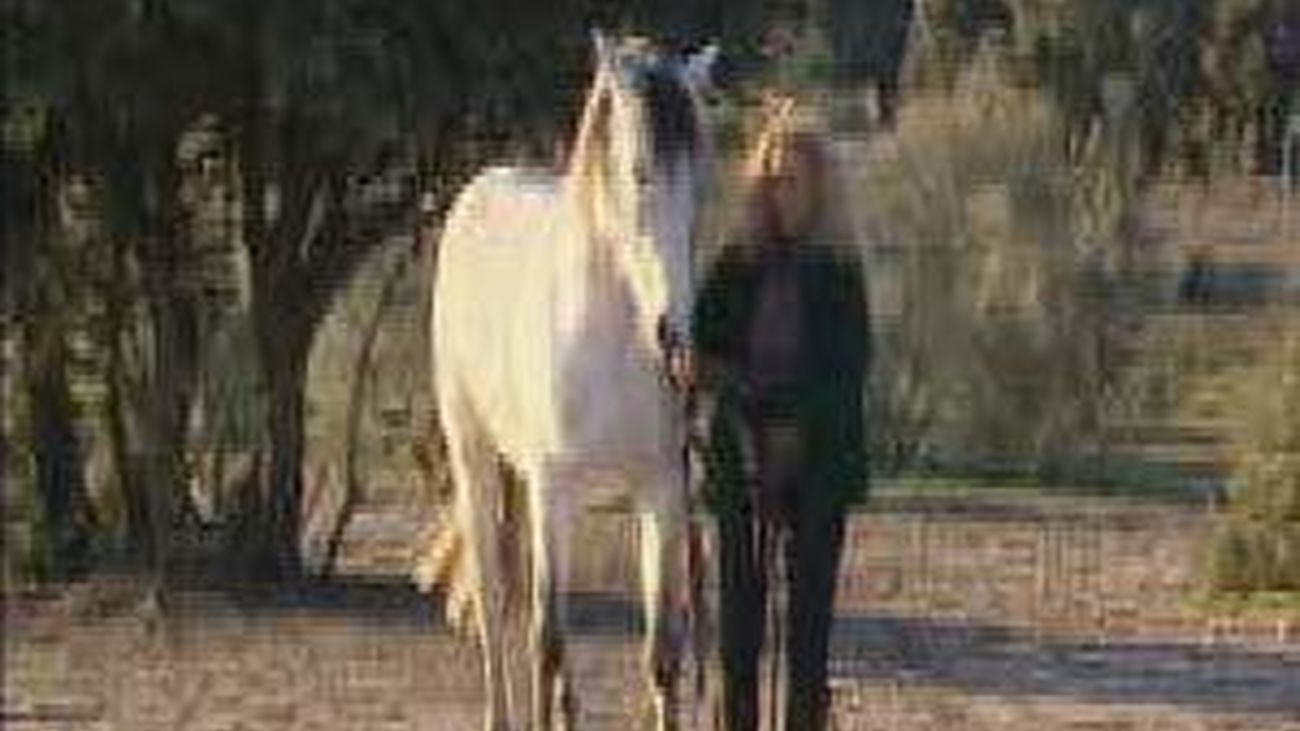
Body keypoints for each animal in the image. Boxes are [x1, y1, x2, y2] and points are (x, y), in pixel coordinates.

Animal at [419, 30, 717, 731]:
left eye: (700, 184)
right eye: (638, 171)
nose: (677, 337)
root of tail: (480, 190)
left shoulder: (662, 498)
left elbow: (662, 655)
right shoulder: (556, 496)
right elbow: (552, 651)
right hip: (479, 464)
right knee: (500, 611)